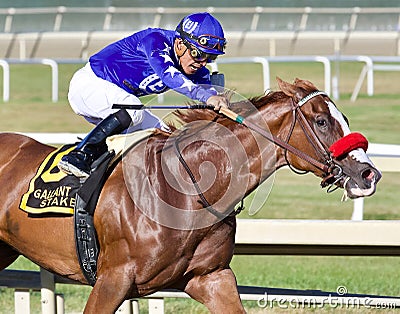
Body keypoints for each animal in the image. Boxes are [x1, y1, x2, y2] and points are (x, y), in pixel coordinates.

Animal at [0, 78, 382, 312]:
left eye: (344, 118)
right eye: (321, 121)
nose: (369, 174)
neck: (185, 187)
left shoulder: (210, 277)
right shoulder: (113, 278)